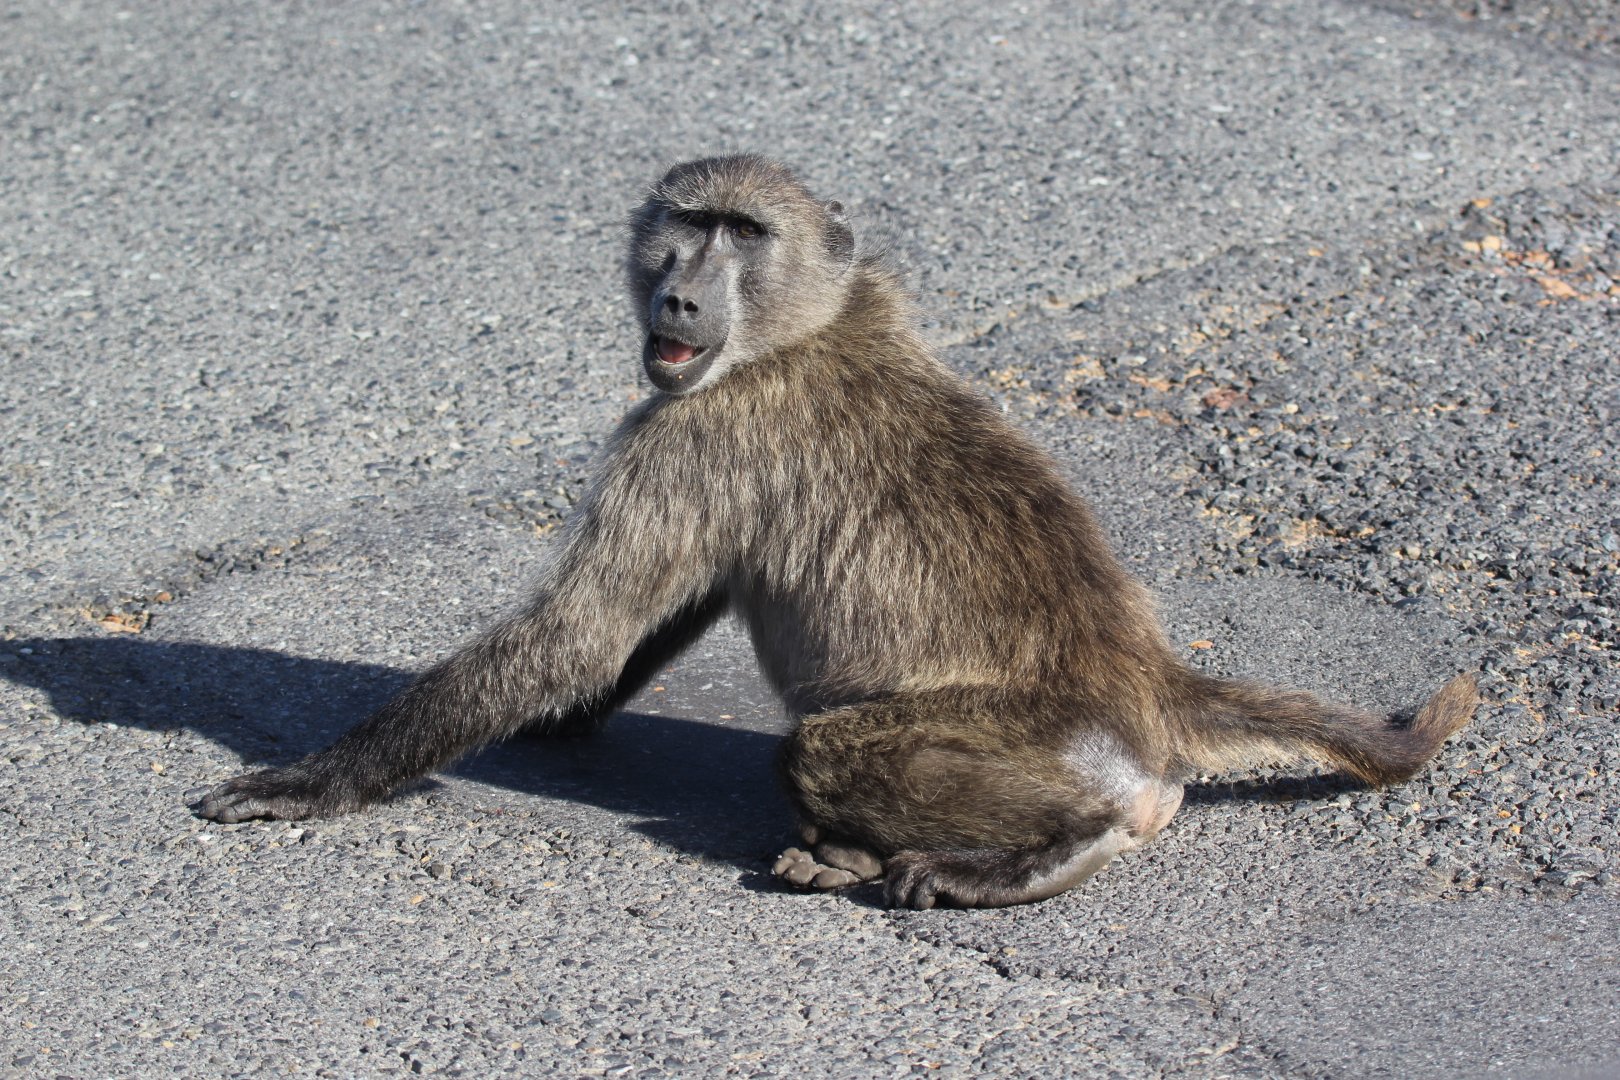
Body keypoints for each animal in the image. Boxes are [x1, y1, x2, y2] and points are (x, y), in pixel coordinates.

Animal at [194, 154, 1479, 909]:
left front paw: (315, 780)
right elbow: (664, 609)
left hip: (1048, 747)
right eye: (686, 224)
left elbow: (582, 627)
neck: (808, 326)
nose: (678, 295)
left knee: (829, 752)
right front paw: (561, 719)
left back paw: (1050, 852)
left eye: (743, 232)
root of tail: (1148, 687)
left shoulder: (691, 433)